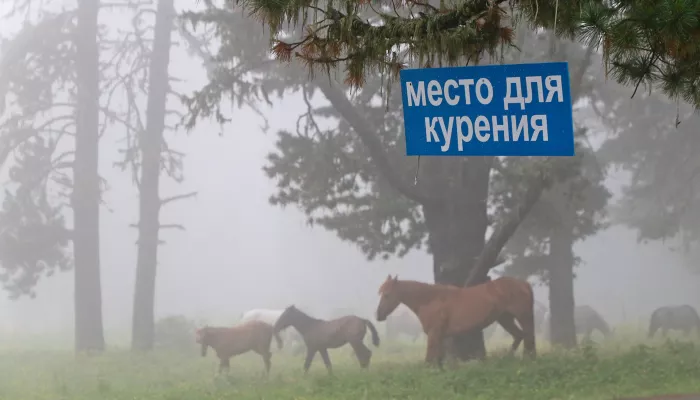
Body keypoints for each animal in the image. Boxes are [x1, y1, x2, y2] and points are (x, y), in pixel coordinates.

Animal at [375, 274, 536, 368]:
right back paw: (506, 359)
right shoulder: (439, 336)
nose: (378, 315)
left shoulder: (433, 334)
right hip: (505, 319)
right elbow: (438, 361)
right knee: (519, 336)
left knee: (527, 337)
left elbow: (429, 360)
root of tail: (524, 284)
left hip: (522, 317)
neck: (431, 299)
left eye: (387, 294)